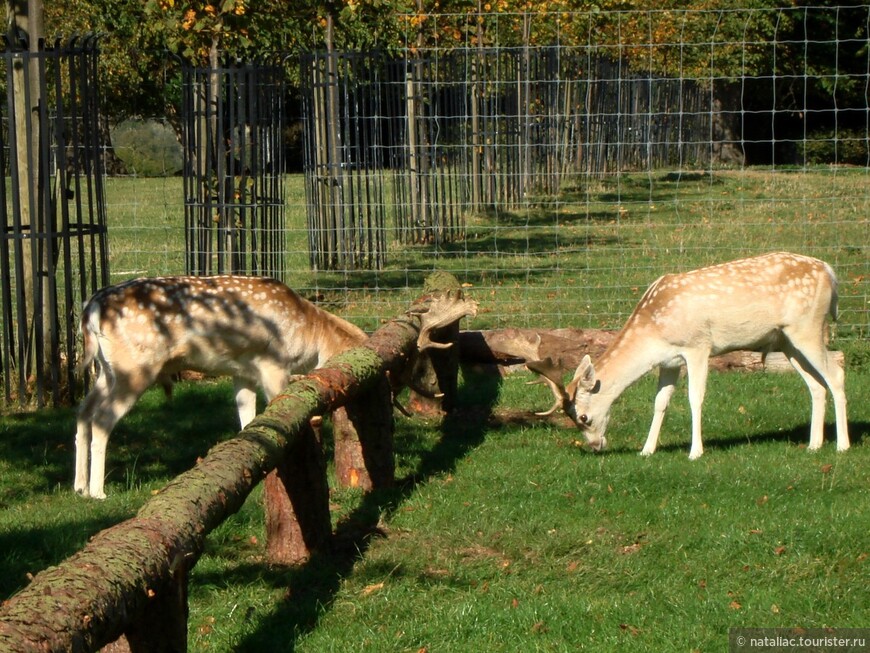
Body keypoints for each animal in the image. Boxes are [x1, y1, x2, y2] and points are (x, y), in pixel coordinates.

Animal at [76, 272, 480, 496]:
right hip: (135, 366)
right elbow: (276, 409)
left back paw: (78, 485)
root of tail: (89, 309)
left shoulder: (241, 371)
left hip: (104, 369)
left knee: (84, 412)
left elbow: (247, 418)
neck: (312, 340)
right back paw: (97, 492)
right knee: (103, 419)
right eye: (388, 385)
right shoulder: (273, 364)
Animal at [524, 250, 852, 458]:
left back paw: (842, 445)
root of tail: (831, 273)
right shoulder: (669, 361)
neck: (654, 329)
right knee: (816, 385)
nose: (595, 447)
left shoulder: (697, 346)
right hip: (786, 340)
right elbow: (660, 402)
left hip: (808, 327)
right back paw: (814, 445)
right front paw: (647, 450)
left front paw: (695, 452)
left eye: (583, 417)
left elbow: (695, 398)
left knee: (836, 373)